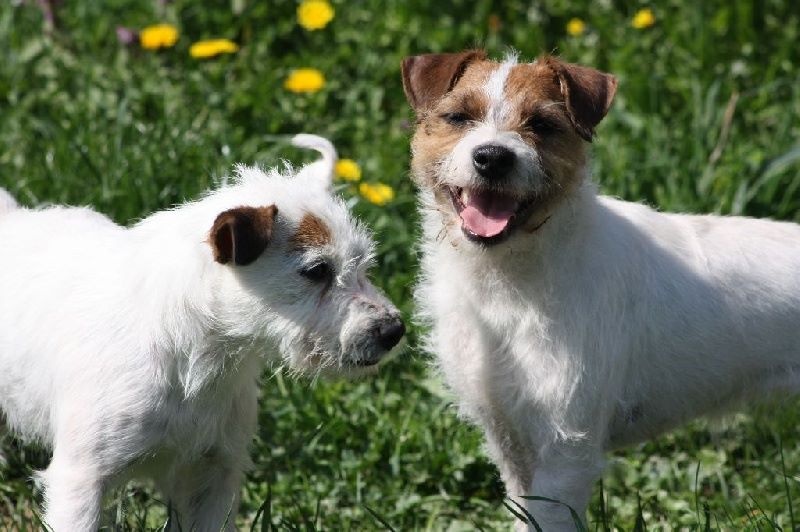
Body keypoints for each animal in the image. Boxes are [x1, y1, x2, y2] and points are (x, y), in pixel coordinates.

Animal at [0, 135, 404, 528]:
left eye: (363, 265)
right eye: (317, 270)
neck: (195, 356)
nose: (395, 330)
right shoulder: (81, 481)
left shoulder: (213, 476)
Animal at [404, 51, 800, 532]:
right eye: (459, 117)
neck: (512, 280)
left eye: (542, 124)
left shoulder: (566, 449)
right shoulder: (509, 436)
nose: (492, 157)